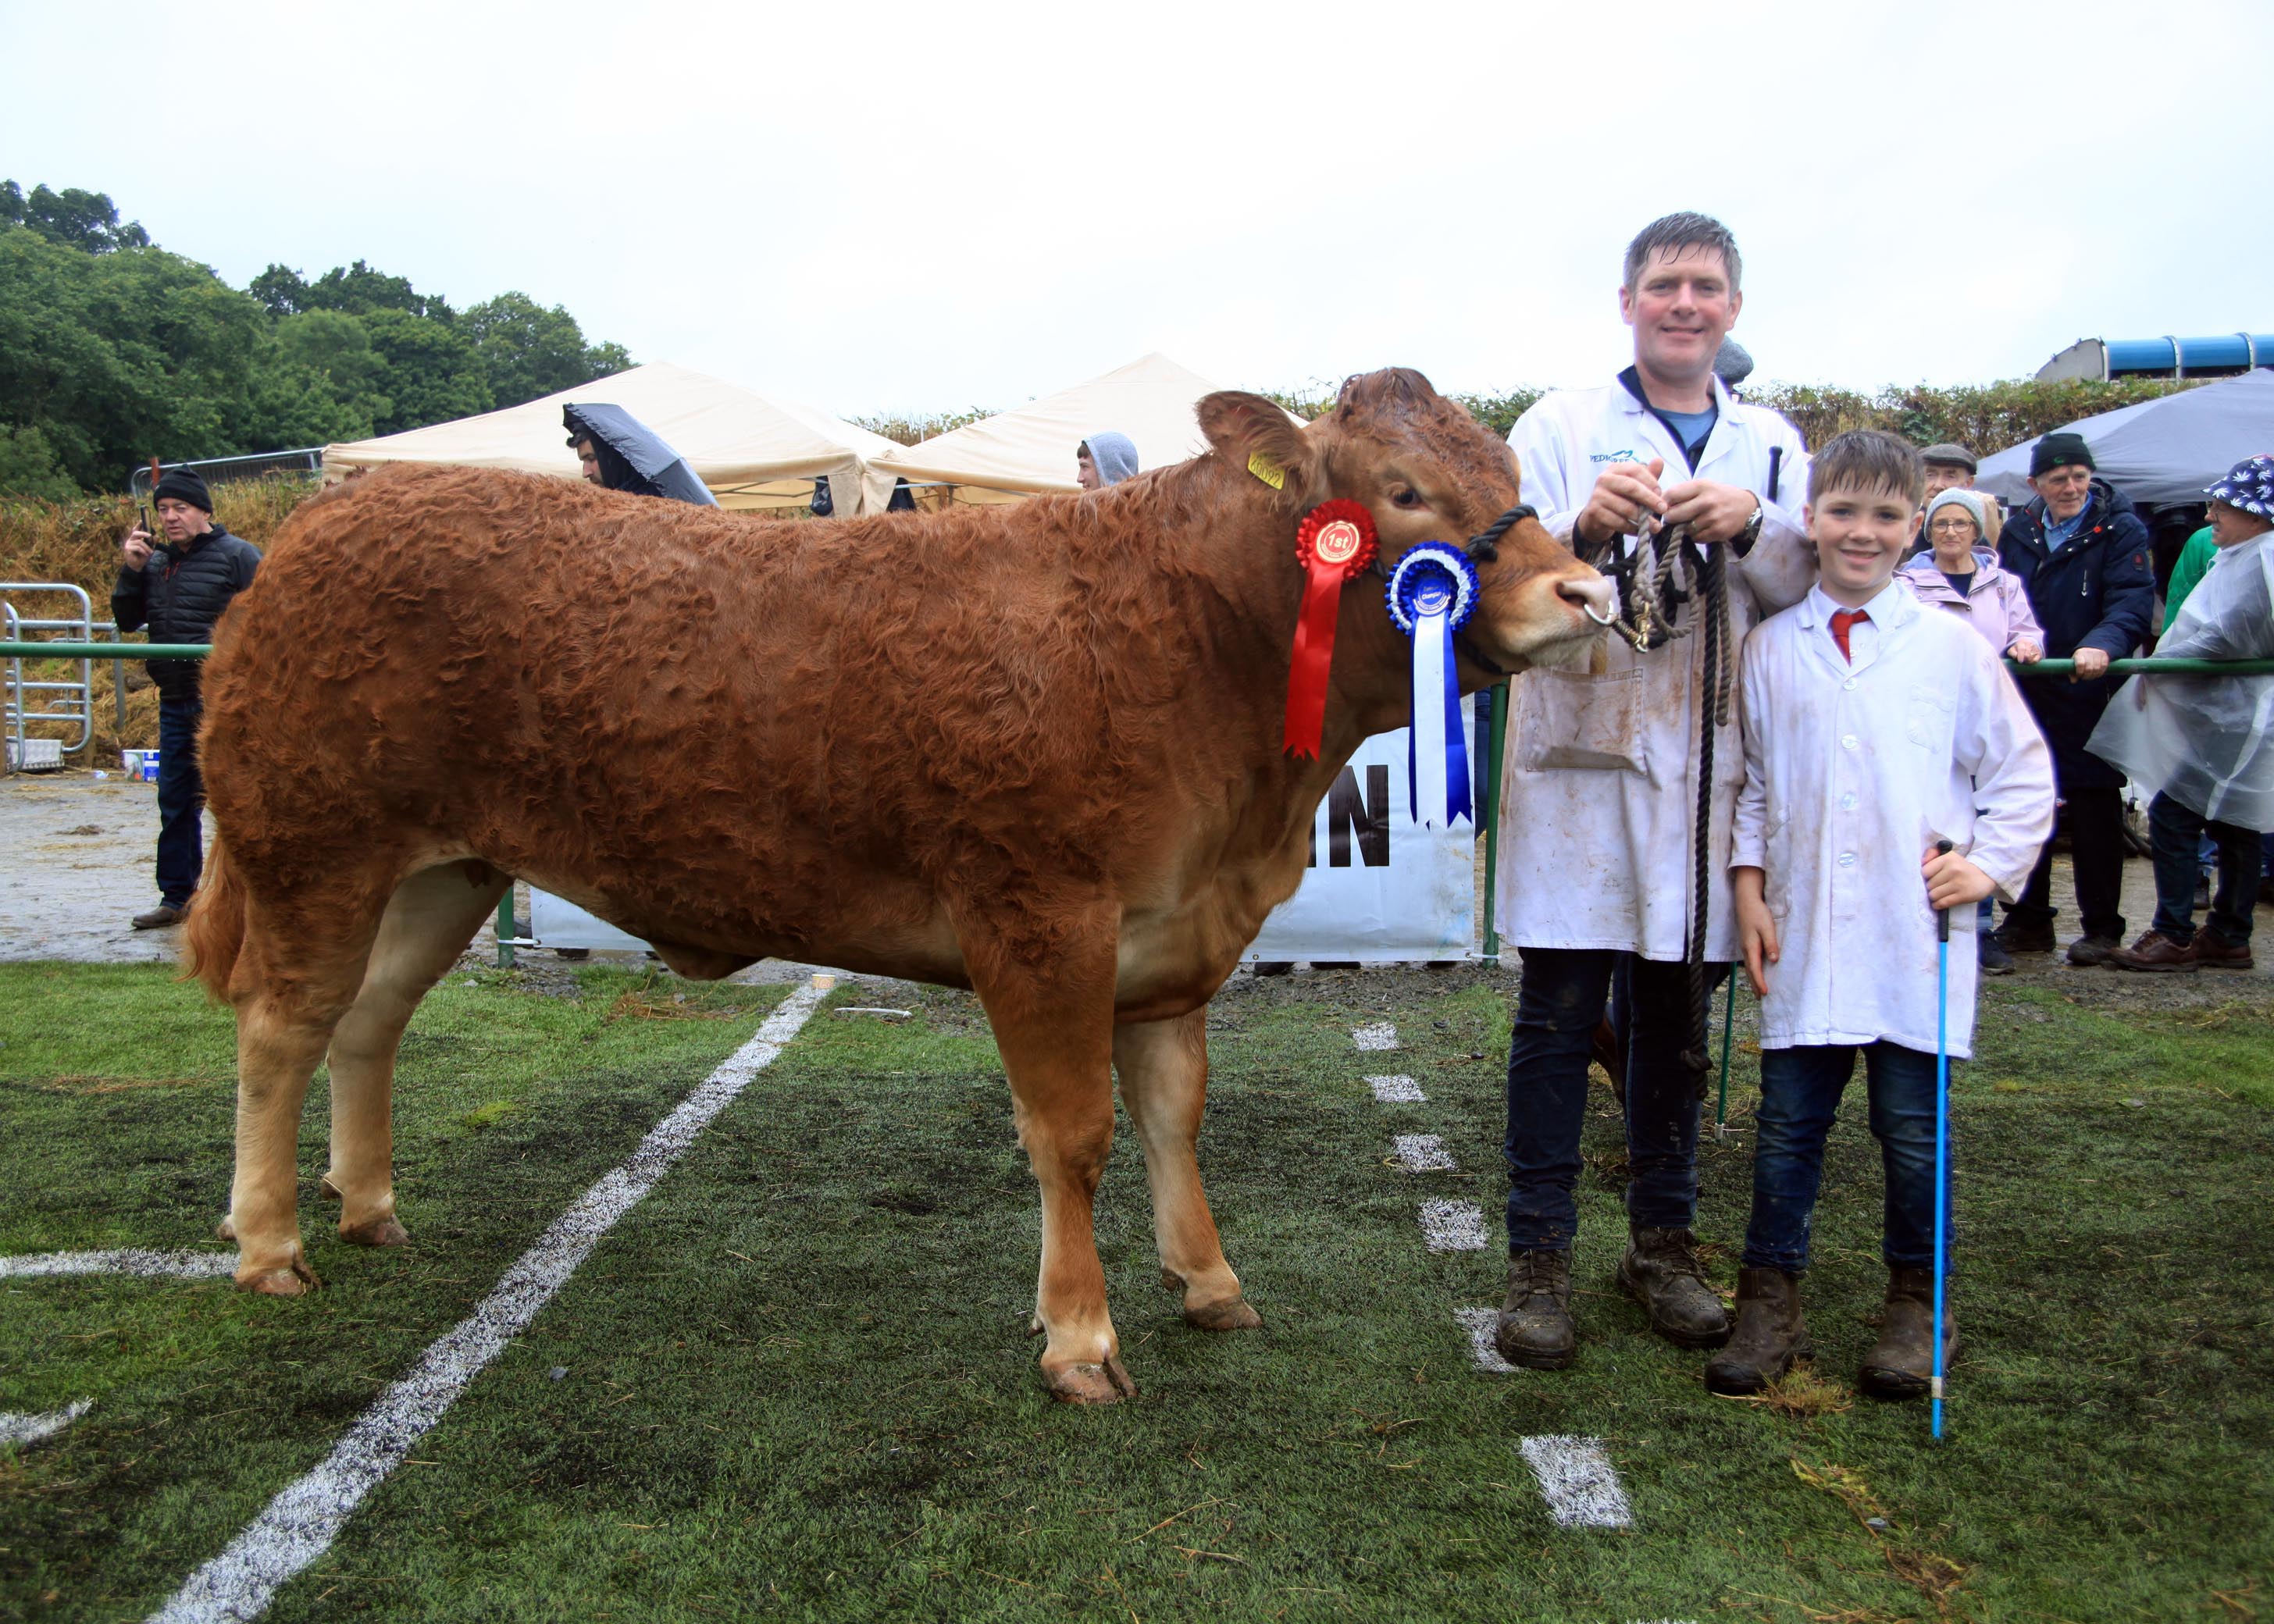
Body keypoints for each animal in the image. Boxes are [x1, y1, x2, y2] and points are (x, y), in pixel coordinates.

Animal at [186, 369, 1611, 1403]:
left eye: (1510, 474)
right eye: (1405, 489)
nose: (1584, 589)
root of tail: (320, 523)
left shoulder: (1171, 939)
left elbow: (1174, 1115)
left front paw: (1208, 1283)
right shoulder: (1039, 918)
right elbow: (1073, 1132)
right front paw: (1080, 1340)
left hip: (445, 870)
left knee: (367, 1022)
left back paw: (370, 1212)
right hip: (313, 850)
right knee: (280, 1028)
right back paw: (267, 1248)